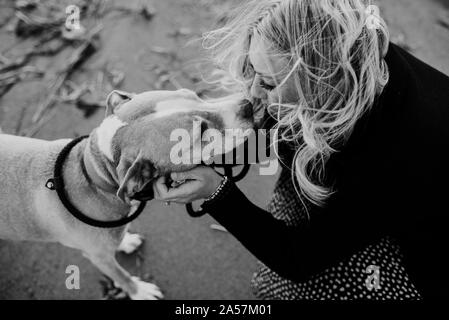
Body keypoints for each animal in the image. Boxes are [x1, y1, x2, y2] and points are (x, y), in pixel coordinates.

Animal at [0, 88, 252, 300]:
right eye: (202, 131)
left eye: (194, 94)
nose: (248, 104)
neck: (96, 178)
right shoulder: (99, 257)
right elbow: (121, 276)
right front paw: (139, 291)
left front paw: (125, 240)